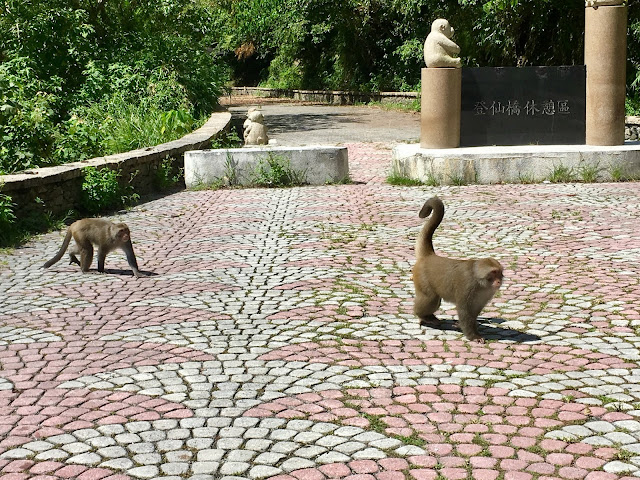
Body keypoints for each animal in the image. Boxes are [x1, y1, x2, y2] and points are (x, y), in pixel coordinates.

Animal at [412, 197, 502, 344]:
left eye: (500, 273)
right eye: (493, 273)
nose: (499, 281)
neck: (480, 283)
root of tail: (429, 256)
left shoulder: (486, 293)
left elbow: (474, 311)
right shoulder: (467, 287)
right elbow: (464, 310)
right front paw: (474, 336)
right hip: (422, 279)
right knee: (430, 299)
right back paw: (423, 316)